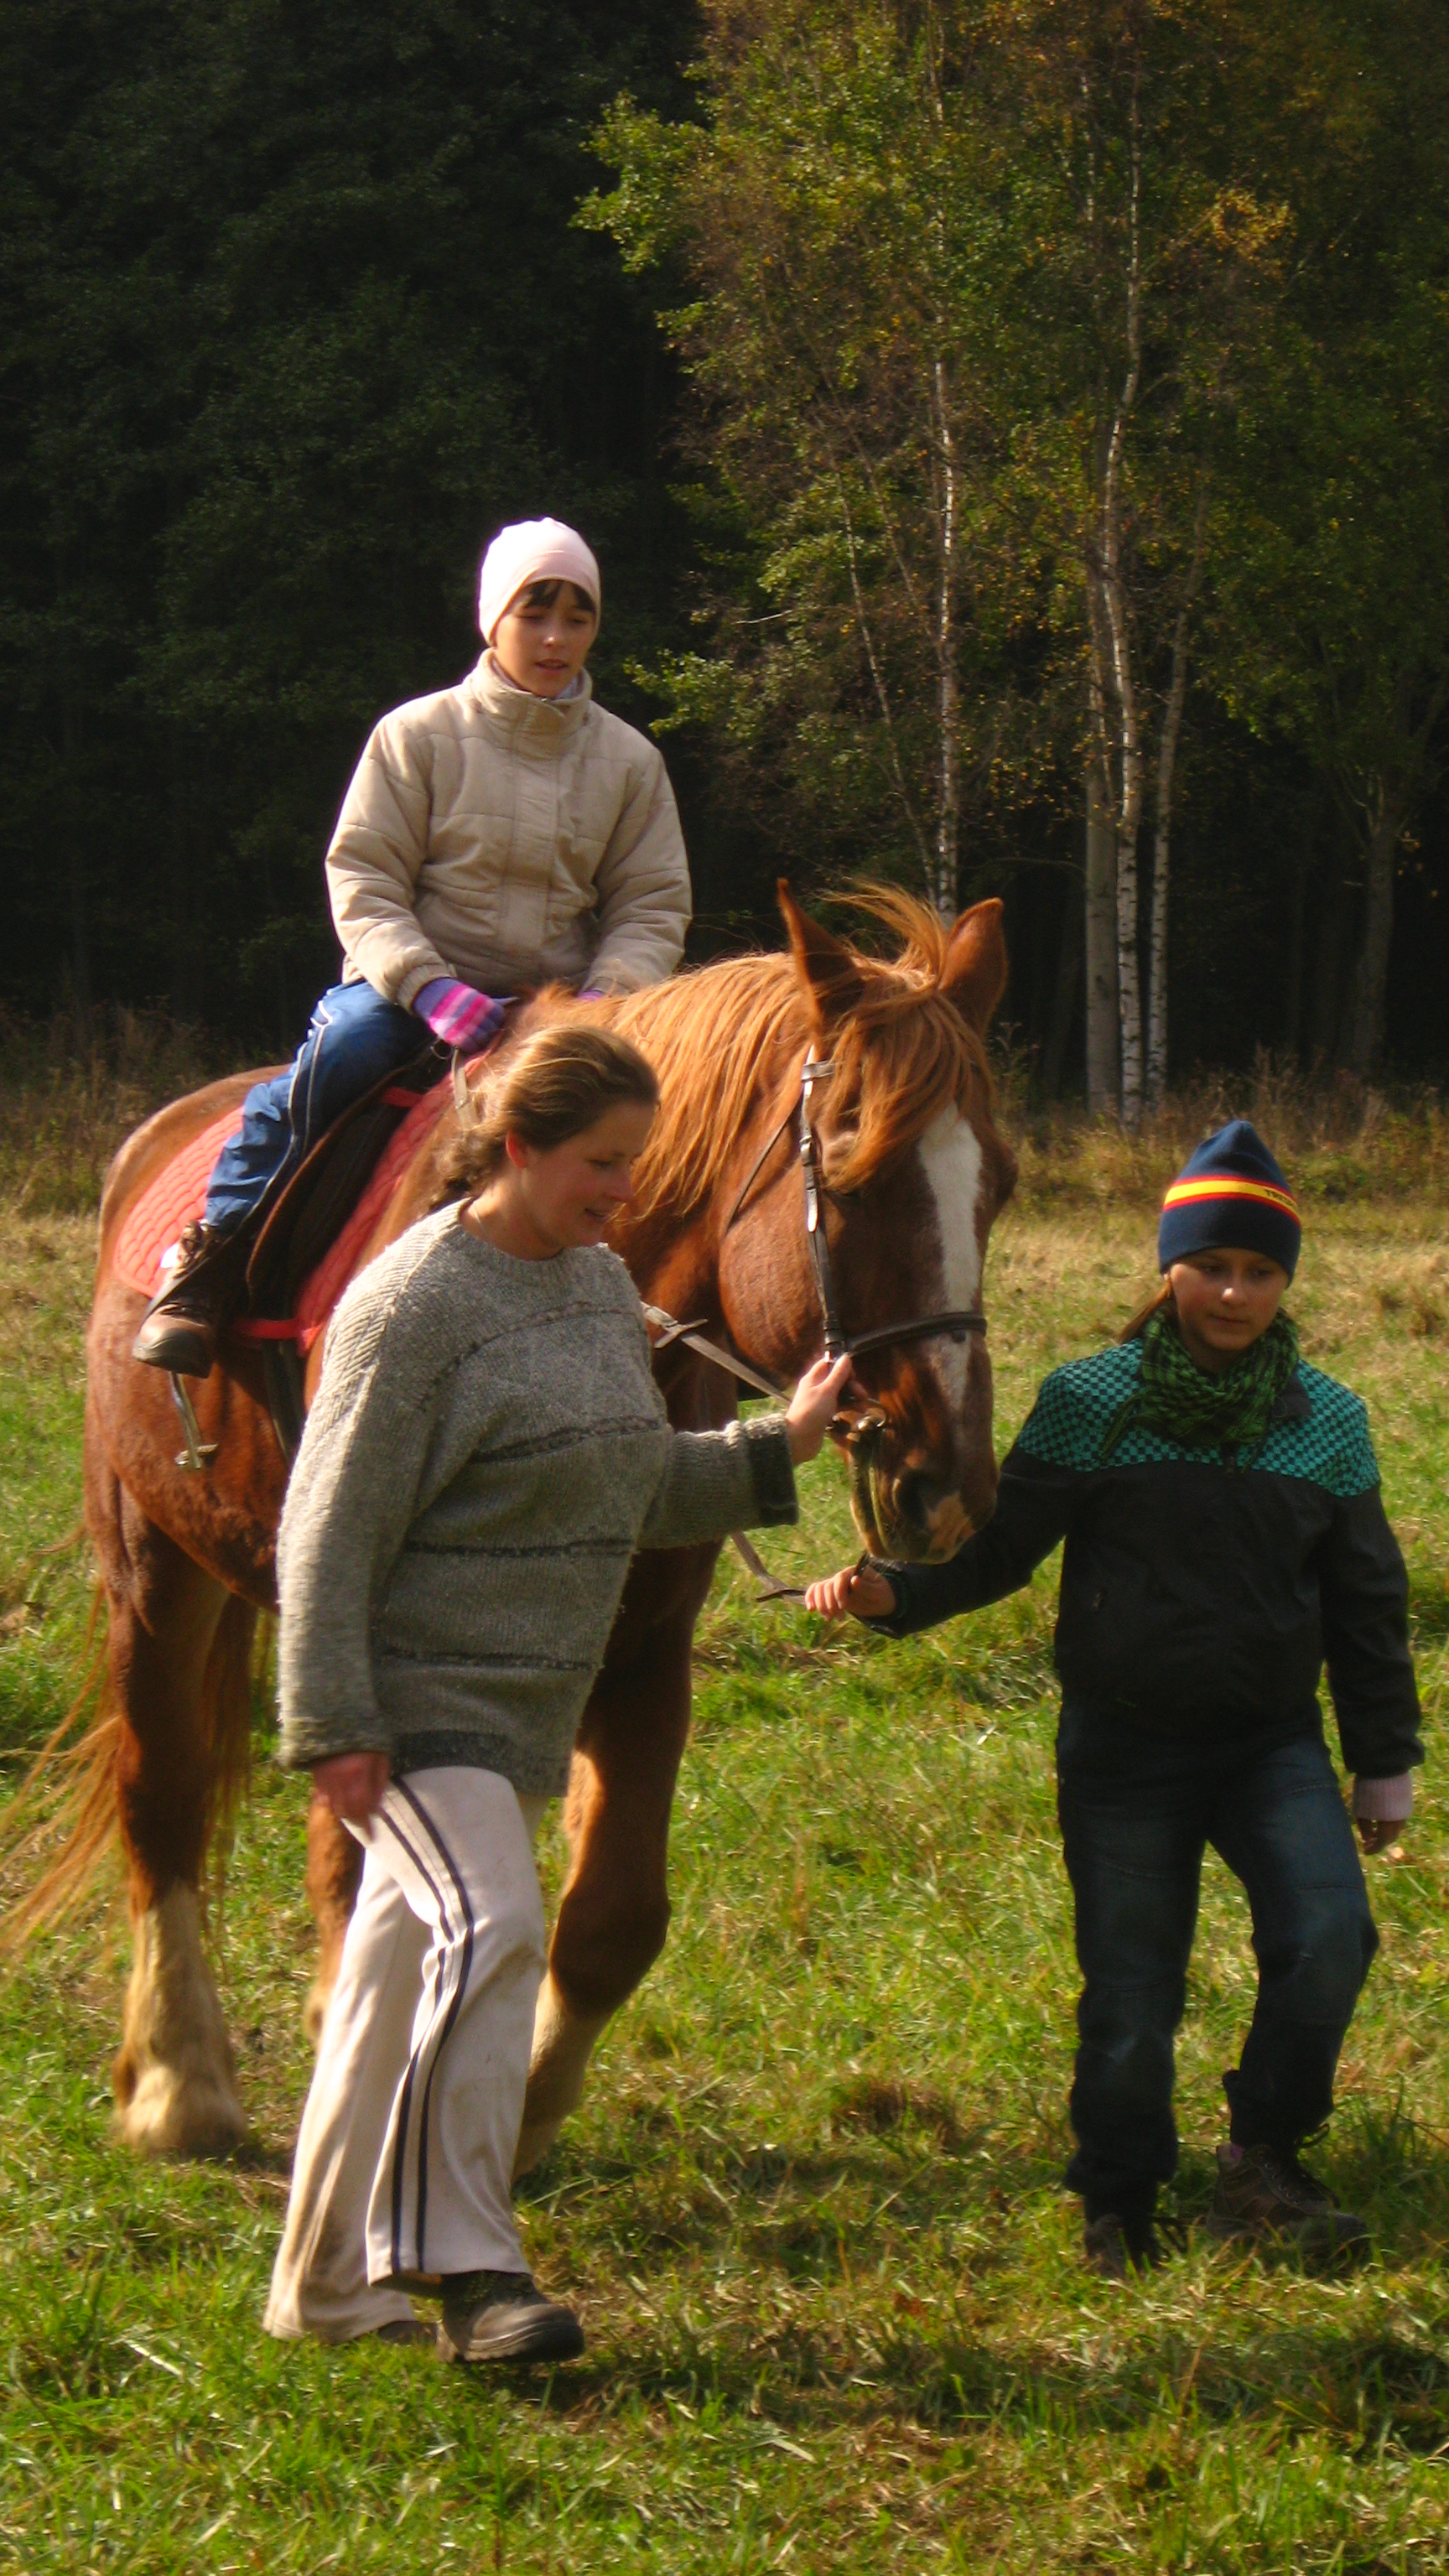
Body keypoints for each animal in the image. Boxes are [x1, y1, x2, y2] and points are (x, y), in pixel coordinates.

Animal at [53, 886, 1015, 2153]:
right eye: (851, 1175)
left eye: (998, 1185)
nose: (948, 1488)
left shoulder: (644, 1646)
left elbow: (612, 1915)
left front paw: (514, 2115)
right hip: (155, 1565)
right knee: (159, 1793)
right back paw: (178, 2082)